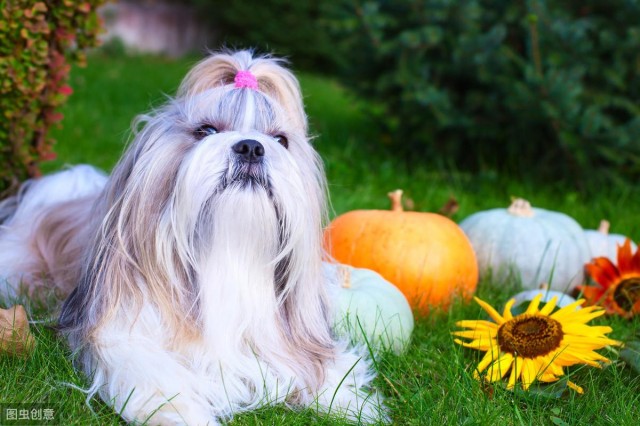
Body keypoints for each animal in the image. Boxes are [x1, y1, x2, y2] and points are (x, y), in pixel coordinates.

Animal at [0, 51, 384, 424]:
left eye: (280, 140)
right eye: (205, 130)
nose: (251, 147)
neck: (228, 253)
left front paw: (347, 399)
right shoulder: (120, 331)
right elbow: (152, 372)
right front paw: (180, 412)